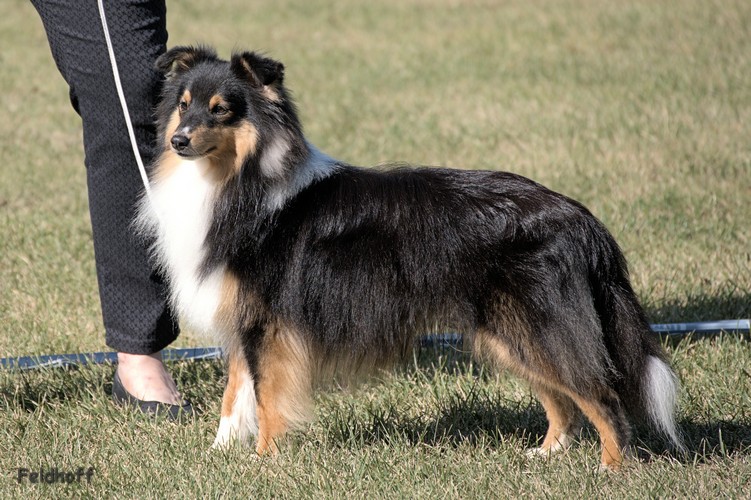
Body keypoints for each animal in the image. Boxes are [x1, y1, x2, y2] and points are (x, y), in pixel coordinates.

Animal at [138, 45, 684, 470]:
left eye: (221, 109)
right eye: (183, 105)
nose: (178, 141)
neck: (240, 182)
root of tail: (581, 218)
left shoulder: (269, 325)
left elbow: (268, 398)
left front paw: (264, 462)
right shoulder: (244, 319)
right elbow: (236, 396)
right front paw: (221, 454)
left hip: (540, 323)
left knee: (601, 394)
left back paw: (612, 468)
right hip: (510, 332)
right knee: (562, 400)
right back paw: (545, 454)